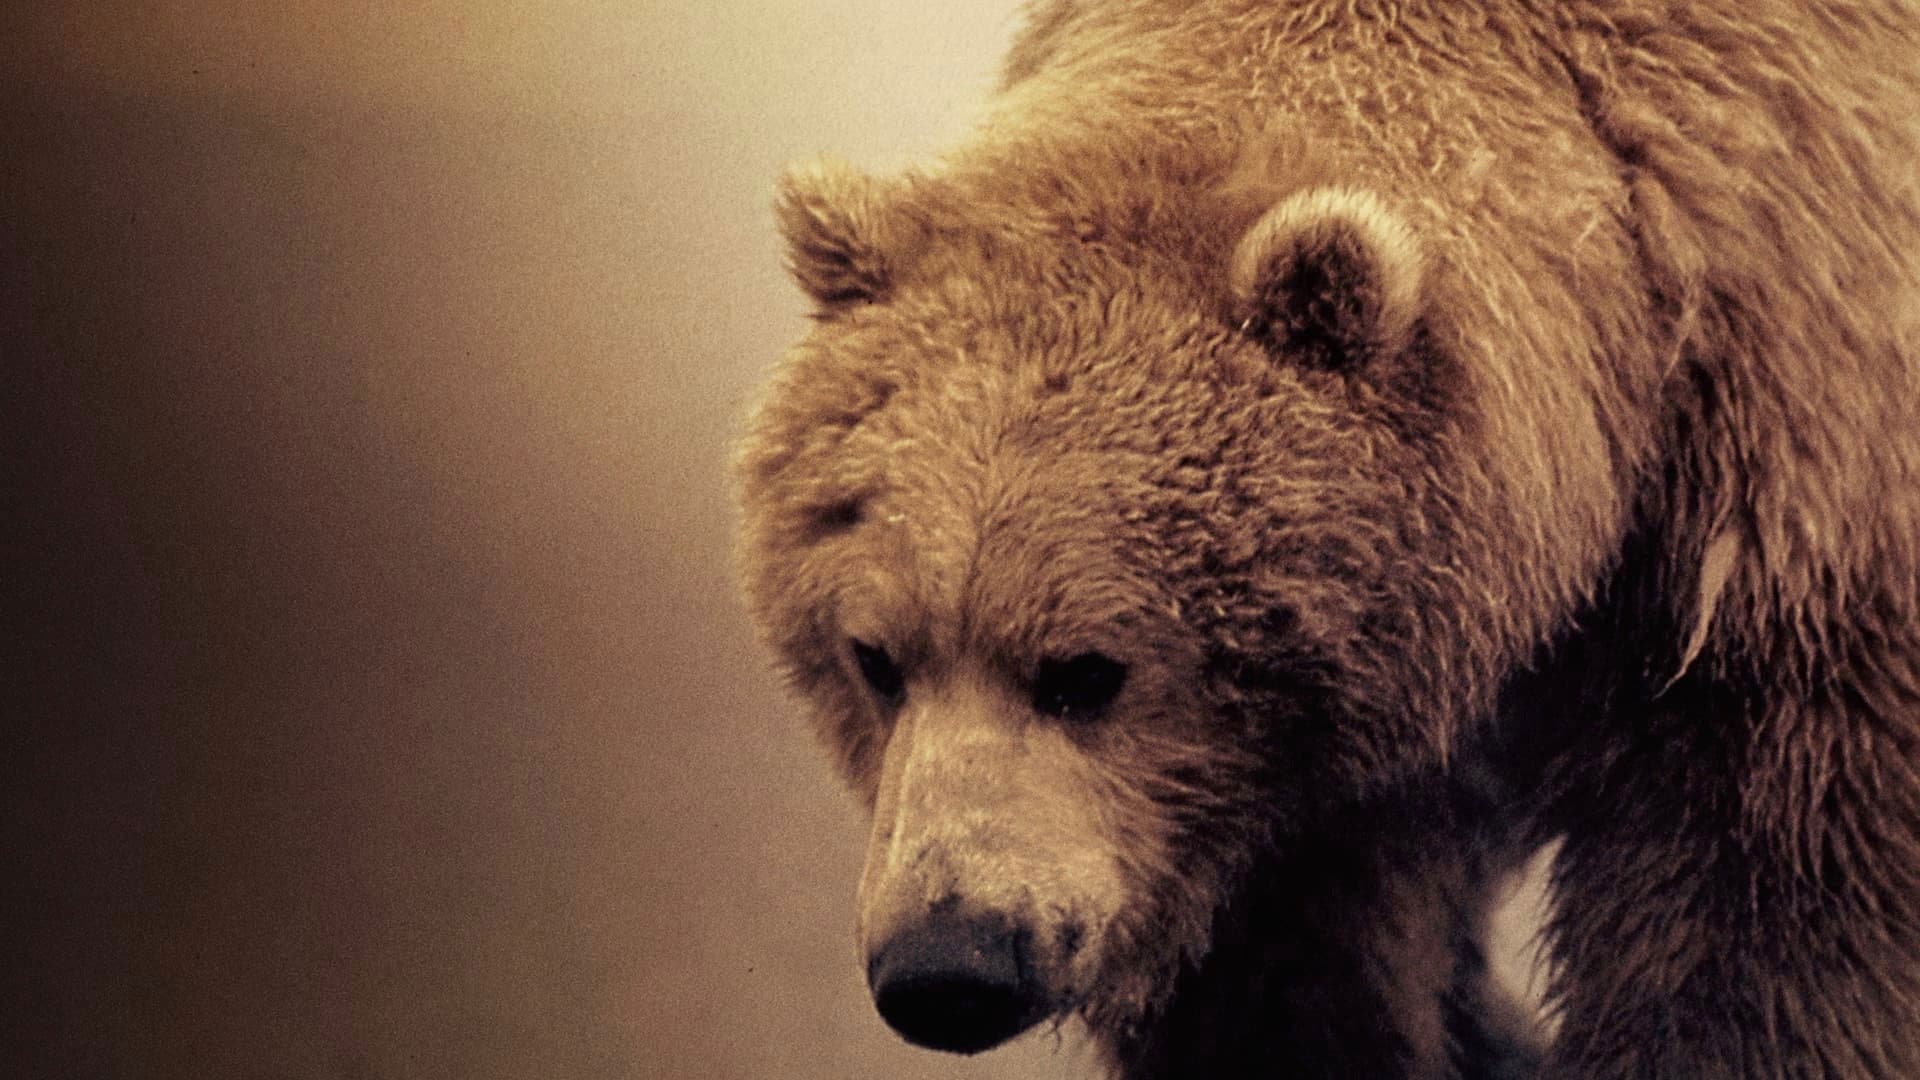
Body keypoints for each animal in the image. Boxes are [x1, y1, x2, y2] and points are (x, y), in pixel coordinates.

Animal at [733, 1, 1920, 1077]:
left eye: (1084, 671)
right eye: (875, 658)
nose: (950, 964)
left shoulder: (1774, 538)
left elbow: (1759, 929)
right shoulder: (1273, 787)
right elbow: (1298, 973)